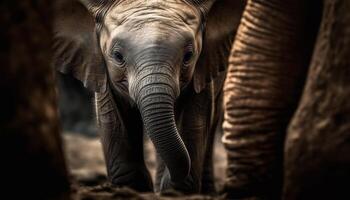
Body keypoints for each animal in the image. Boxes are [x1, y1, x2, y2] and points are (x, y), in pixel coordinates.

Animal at [54, 0, 245, 194]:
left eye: (188, 56)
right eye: (117, 56)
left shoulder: (202, 68)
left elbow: (193, 120)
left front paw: (174, 191)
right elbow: (114, 120)